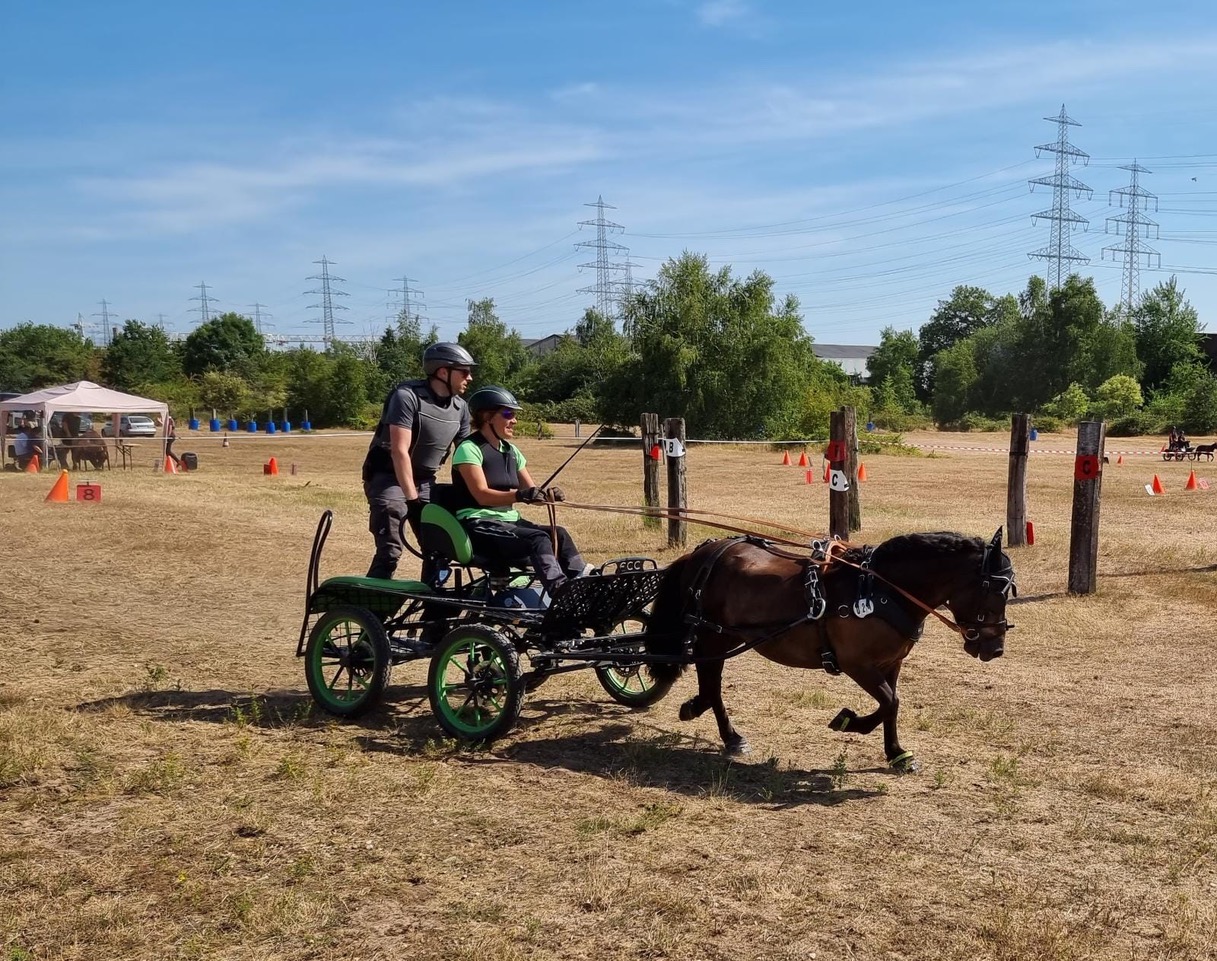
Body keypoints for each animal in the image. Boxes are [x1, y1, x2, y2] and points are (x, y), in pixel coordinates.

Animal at [647, 530, 1017, 773]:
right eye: (995, 589)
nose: (996, 648)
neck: (879, 588)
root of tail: (703, 553)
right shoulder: (858, 664)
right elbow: (889, 702)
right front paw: (848, 721)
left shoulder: (892, 663)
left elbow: (891, 705)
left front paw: (896, 753)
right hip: (712, 635)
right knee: (711, 680)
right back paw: (725, 730)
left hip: (723, 637)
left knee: (709, 680)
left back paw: (708, 716)